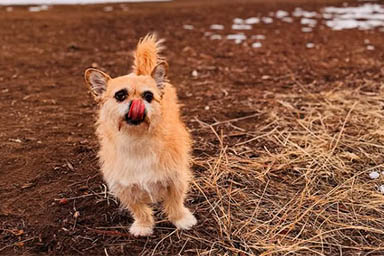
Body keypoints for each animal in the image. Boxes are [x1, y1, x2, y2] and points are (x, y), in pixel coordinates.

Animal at [85, 34, 196, 236]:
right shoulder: (123, 187)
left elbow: (176, 203)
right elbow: (139, 209)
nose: (137, 104)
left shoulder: (176, 179)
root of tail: (140, 71)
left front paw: (181, 220)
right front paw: (144, 226)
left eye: (148, 96)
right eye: (120, 96)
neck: (137, 140)